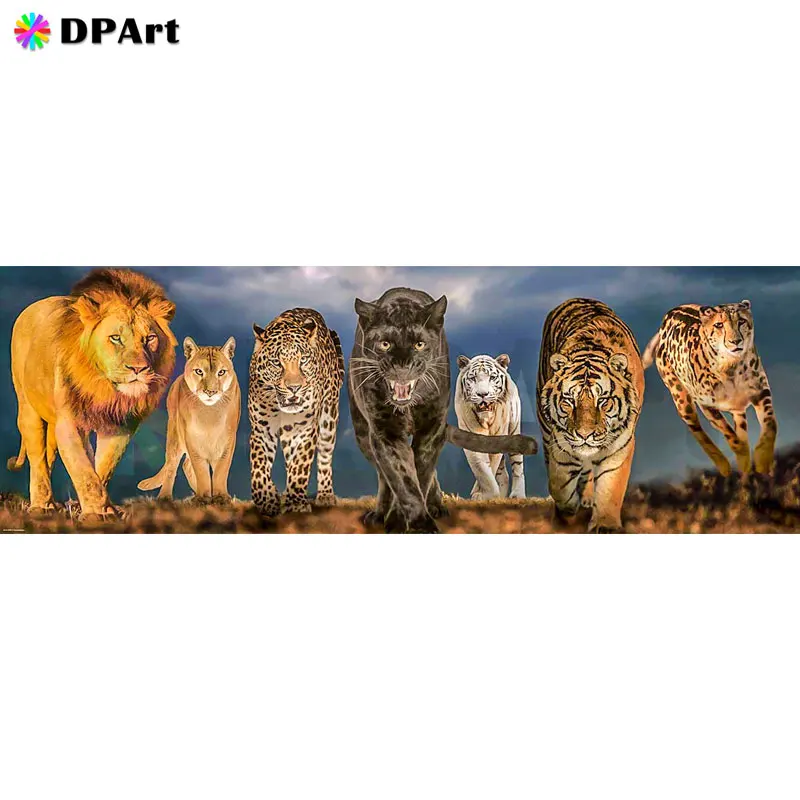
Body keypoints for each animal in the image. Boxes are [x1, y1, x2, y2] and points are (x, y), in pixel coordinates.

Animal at [8, 268, 177, 519]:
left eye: (149, 338)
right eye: (116, 338)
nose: (138, 369)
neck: (105, 389)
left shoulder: (121, 425)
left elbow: (103, 466)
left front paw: (100, 508)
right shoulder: (70, 421)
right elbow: (83, 469)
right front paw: (97, 513)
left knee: (50, 456)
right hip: (28, 407)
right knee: (37, 458)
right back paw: (41, 506)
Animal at [248, 308, 345, 517]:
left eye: (303, 360)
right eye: (276, 362)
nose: (294, 388)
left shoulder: (304, 429)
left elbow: (300, 465)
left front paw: (296, 504)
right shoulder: (261, 428)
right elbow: (259, 466)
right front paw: (267, 497)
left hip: (329, 419)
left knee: (324, 457)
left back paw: (325, 495)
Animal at [454, 353, 525, 499]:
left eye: (492, 377)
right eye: (473, 378)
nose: (482, 394)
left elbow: (490, 467)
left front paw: (482, 494)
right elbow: (481, 469)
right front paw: (487, 495)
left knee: (517, 468)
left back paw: (518, 495)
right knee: (503, 475)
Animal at [536, 298, 644, 533]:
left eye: (603, 401)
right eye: (569, 401)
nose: (585, 435)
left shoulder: (620, 445)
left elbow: (610, 487)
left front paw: (605, 524)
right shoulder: (560, 444)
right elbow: (558, 484)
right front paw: (567, 511)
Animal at [641, 299, 776, 475]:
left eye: (741, 321)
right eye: (719, 325)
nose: (735, 341)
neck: (731, 367)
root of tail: (668, 316)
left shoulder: (760, 391)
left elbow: (770, 424)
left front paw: (762, 458)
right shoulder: (706, 405)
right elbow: (731, 436)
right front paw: (742, 457)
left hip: (737, 408)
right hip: (682, 401)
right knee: (697, 431)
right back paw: (723, 465)